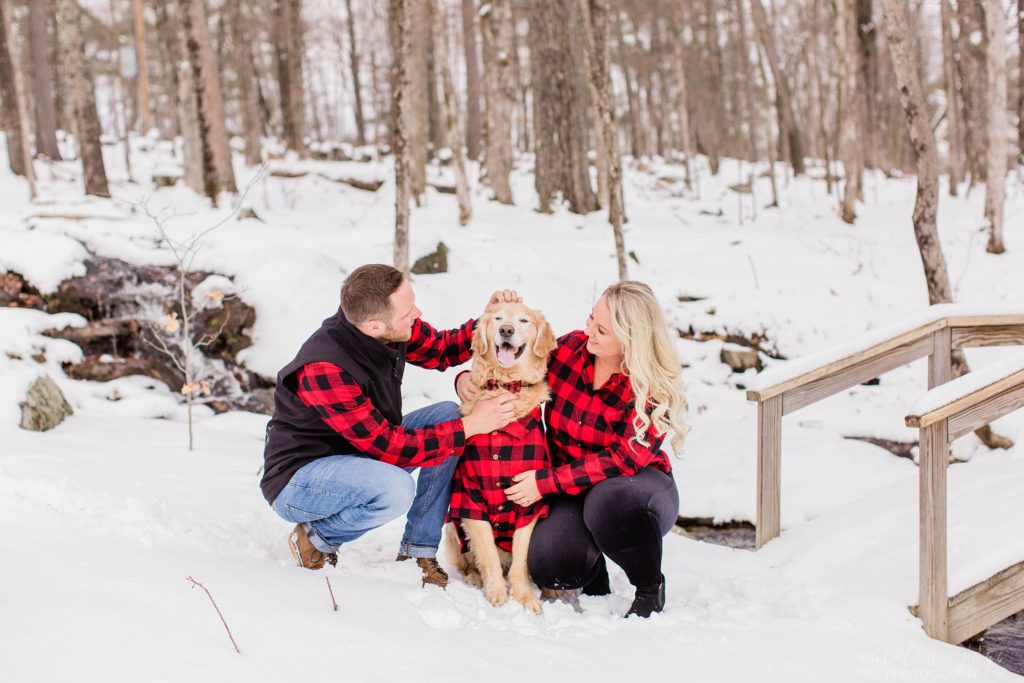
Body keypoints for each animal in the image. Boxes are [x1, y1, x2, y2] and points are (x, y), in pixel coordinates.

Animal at [444, 301, 557, 610]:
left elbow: (521, 560)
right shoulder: (469, 495)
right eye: (497, 318)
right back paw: (474, 577)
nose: (507, 330)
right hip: (451, 525)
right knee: (470, 560)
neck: (507, 386)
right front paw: (496, 593)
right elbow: (488, 555)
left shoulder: (529, 501)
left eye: (523, 321)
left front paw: (525, 598)